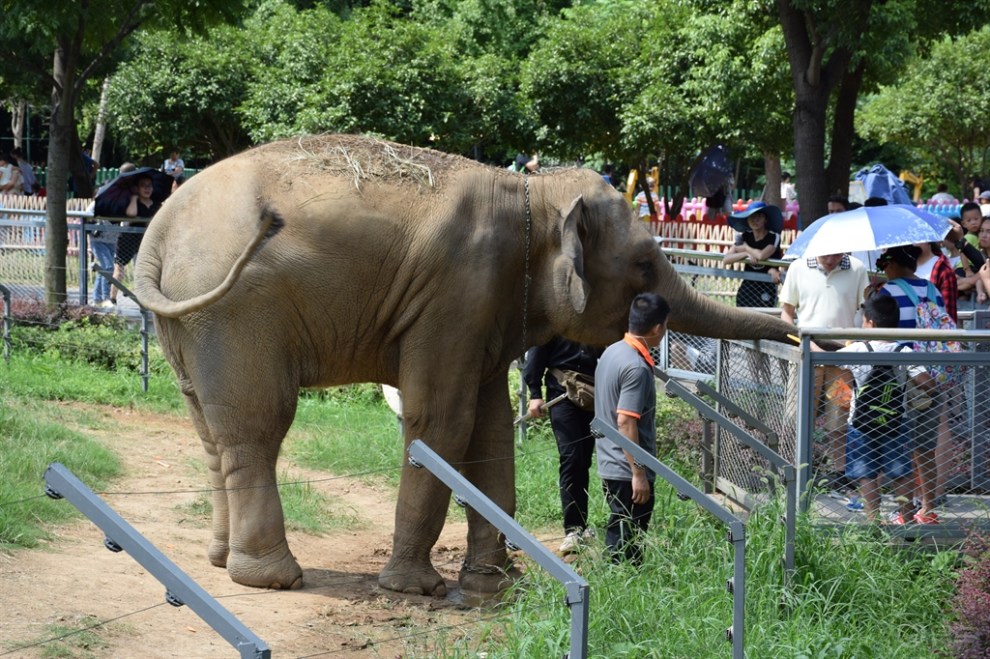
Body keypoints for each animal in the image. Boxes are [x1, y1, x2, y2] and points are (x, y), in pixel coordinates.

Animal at [134, 134, 800, 600]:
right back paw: (272, 578)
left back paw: (221, 561)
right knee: (259, 425)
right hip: (236, 312)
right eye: (643, 265)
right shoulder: (457, 292)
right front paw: (417, 590)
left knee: (211, 429)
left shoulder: (486, 306)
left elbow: (491, 431)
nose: (796, 327)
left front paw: (489, 587)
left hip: (194, 324)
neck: (533, 194)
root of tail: (158, 230)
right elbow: (442, 423)